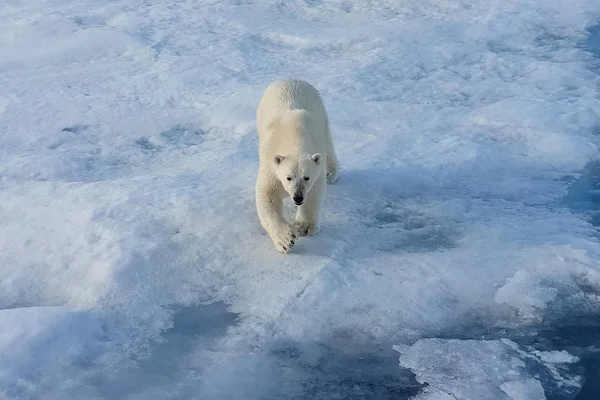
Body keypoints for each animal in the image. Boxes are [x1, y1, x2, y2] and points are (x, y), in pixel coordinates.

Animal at [253, 79, 338, 253]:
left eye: (306, 177)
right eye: (288, 177)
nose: (297, 197)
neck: (294, 135)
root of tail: (290, 79)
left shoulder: (316, 161)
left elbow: (314, 193)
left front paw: (304, 227)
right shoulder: (271, 164)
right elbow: (268, 195)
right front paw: (285, 240)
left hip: (321, 112)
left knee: (329, 143)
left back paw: (331, 173)